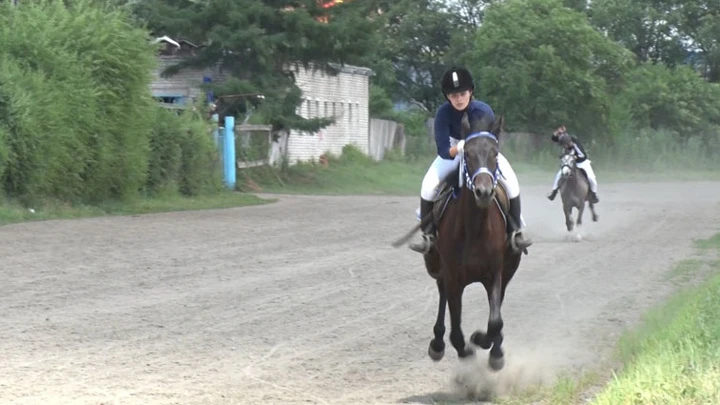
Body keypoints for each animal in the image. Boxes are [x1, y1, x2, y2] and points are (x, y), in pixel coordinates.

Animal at [424, 113, 520, 370]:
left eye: (495, 153)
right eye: (466, 154)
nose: (483, 192)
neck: (475, 229)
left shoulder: (495, 273)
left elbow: (495, 321)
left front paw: (484, 342)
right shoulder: (452, 275)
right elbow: (456, 329)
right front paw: (466, 347)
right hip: (437, 266)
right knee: (442, 295)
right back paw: (437, 343)